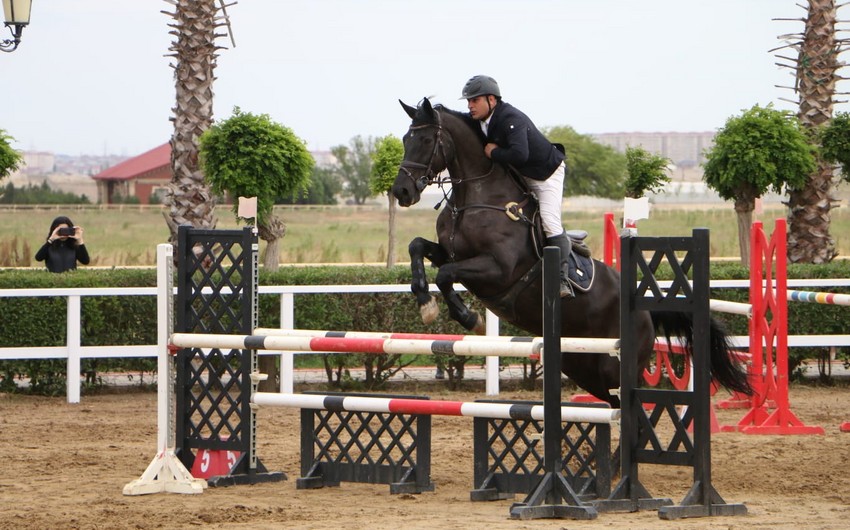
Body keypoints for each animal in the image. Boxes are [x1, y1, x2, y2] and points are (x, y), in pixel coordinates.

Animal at [390, 99, 748, 404]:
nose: (401, 192)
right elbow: (417, 247)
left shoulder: (496, 270)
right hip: (581, 365)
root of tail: (645, 311)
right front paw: (425, 302)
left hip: (614, 367)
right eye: (406, 139)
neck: (475, 196)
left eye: (425, 141)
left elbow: (446, 274)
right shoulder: (451, 252)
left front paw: (467, 317)